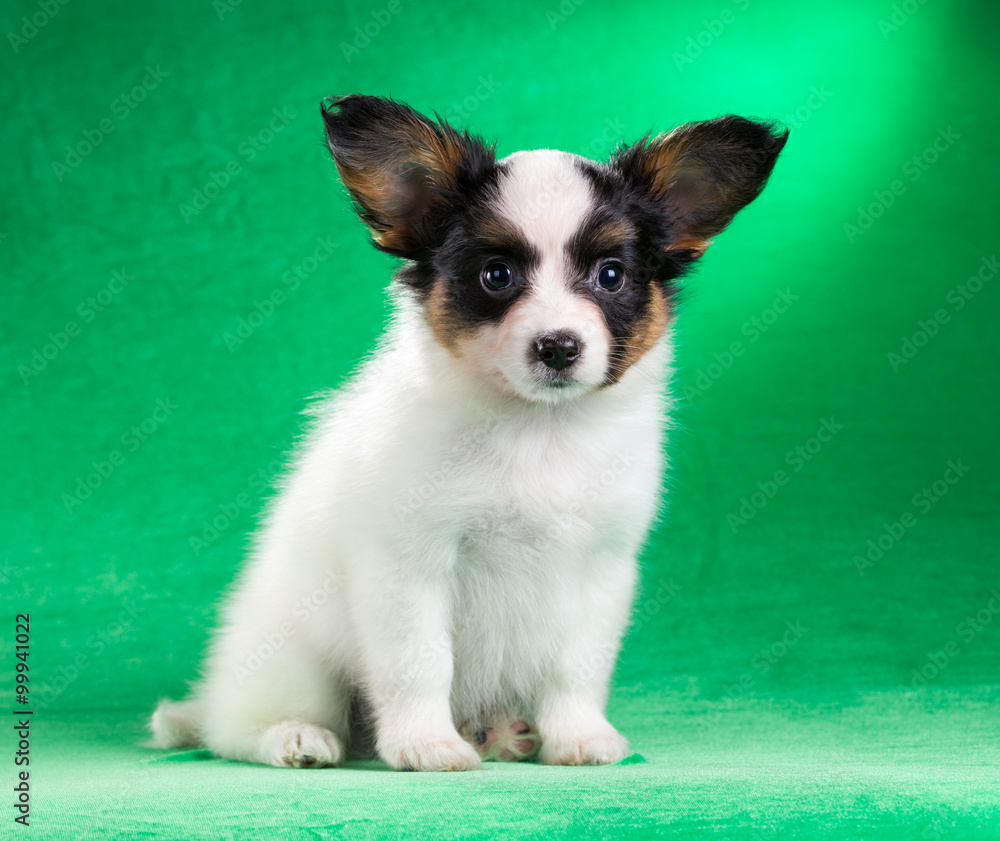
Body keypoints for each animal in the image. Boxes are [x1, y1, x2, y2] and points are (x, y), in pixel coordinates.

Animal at [150, 93, 788, 768]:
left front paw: (578, 736)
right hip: (293, 660)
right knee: (239, 728)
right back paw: (296, 738)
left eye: (611, 276)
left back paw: (496, 733)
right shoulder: (409, 562)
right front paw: (424, 745)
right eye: (497, 276)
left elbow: (577, 665)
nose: (558, 347)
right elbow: (420, 662)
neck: (537, 431)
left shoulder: (601, 566)